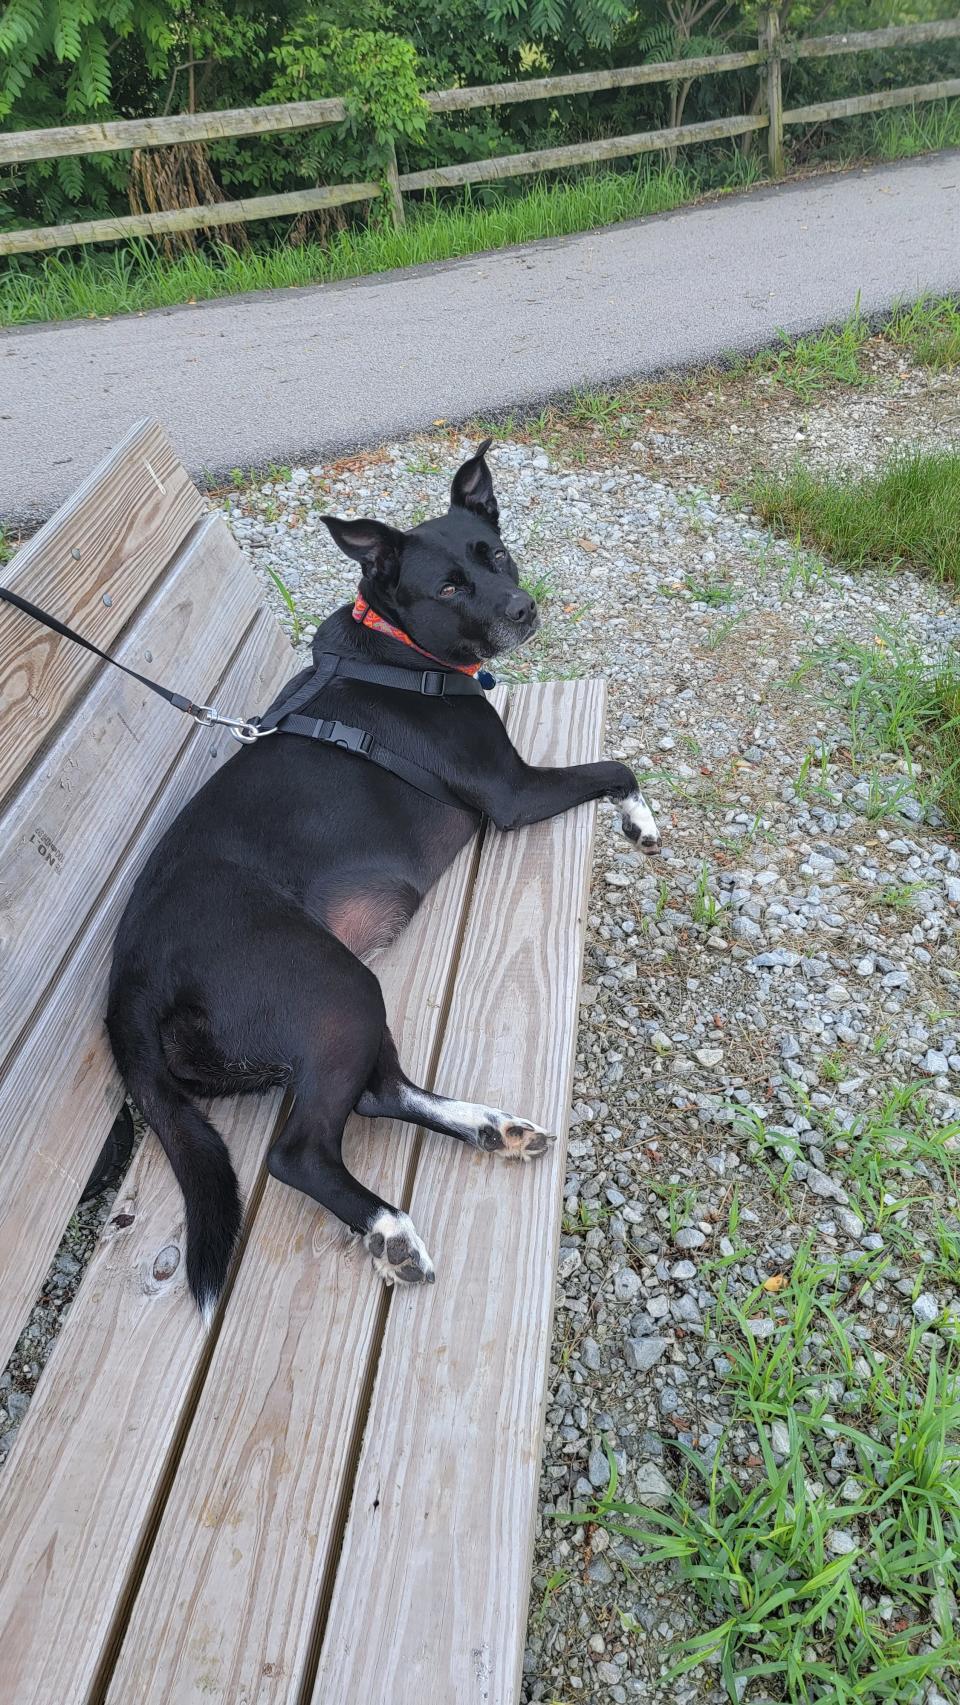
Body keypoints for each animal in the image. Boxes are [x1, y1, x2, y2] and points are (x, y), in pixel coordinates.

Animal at [105, 439, 661, 1316]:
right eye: (447, 587)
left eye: (495, 554)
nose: (522, 608)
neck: (400, 652)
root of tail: (130, 972)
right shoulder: (514, 792)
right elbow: (618, 765)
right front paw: (642, 818)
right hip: (334, 987)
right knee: (299, 1151)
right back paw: (389, 1227)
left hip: (339, 996)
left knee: (381, 1092)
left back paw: (488, 1125)